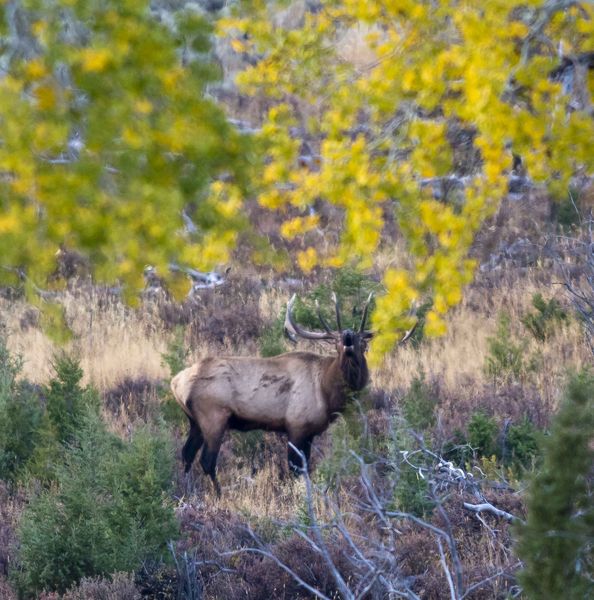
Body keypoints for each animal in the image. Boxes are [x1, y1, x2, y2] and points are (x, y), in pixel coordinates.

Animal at [169, 292, 414, 494]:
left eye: (363, 341)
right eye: (334, 342)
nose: (346, 336)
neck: (327, 394)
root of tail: (176, 382)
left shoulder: (310, 432)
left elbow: (305, 469)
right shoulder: (296, 425)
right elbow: (294, 469)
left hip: (194, 421)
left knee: (186, 454)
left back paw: (186, 490)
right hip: (214, 416)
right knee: (207, 460)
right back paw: (218, 494)